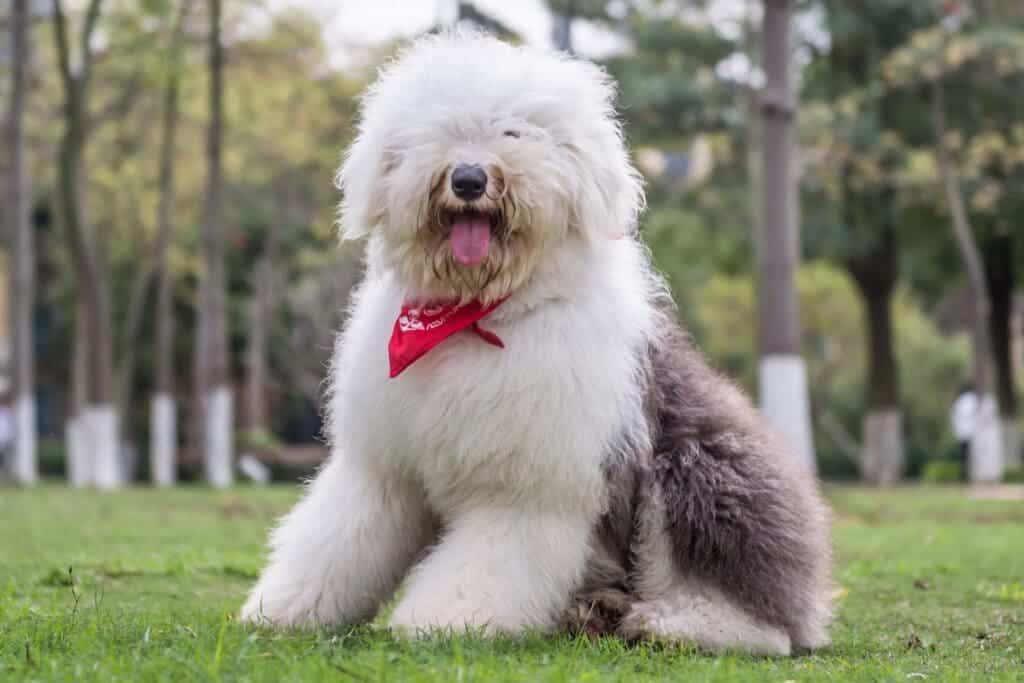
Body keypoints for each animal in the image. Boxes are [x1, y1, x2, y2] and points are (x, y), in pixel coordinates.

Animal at [241, 31, 831, 655]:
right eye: (442, 130)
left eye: (514, 133)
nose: (469, 179)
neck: (474, 316)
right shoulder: (381, 469)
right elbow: (338, 539)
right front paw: (285, 609)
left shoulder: (524, 484)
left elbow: (488, 559)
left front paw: (448, 619)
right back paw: (594, 611)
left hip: (699, 468)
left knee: (759, 619)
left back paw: (671, 623)